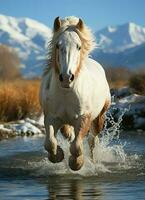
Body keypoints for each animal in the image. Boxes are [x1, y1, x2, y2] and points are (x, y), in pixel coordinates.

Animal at [40, 16, 111, 171]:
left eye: (78, 46)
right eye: (58, 46)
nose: (67, 77)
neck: (67, 93)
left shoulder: (84, 118)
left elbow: (77, 146)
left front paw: (76, 163)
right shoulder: (51, 118)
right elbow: (50, 143)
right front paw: (58, 156)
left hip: (99, 117)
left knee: (92, 140)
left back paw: (93, 161)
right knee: (70, 135)